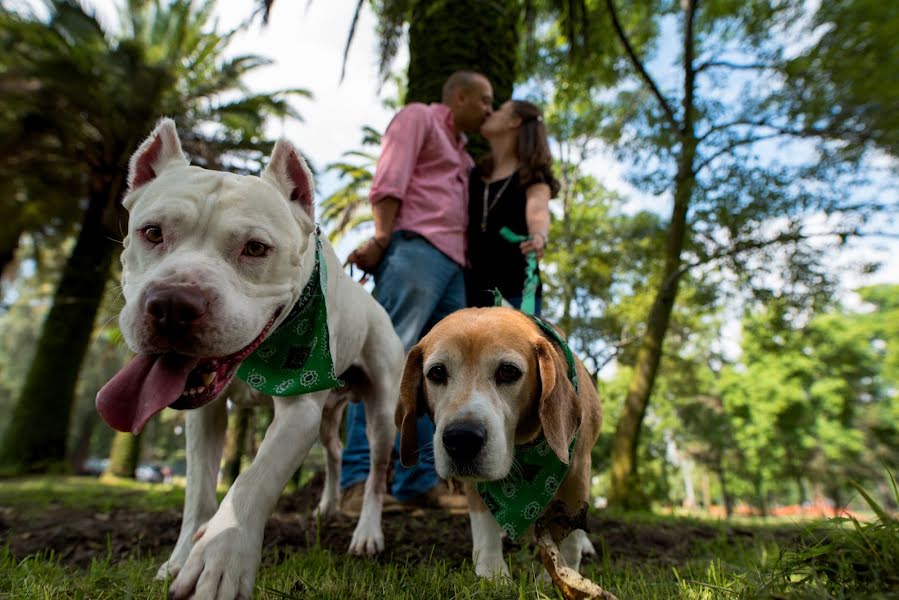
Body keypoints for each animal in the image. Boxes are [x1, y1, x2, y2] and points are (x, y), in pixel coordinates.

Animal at [96, 119, 402, 596]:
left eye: (256, 248)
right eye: (152, 233)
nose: (173, 304)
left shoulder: (298, 408)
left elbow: (253, 478)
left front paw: (219, 558)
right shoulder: (204, 415)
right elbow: (199, 491)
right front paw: (180, 558)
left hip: (383, 413)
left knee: (375, 471)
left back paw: (367, 533)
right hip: (328, 416)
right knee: (333, 451)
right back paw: (327, 506)